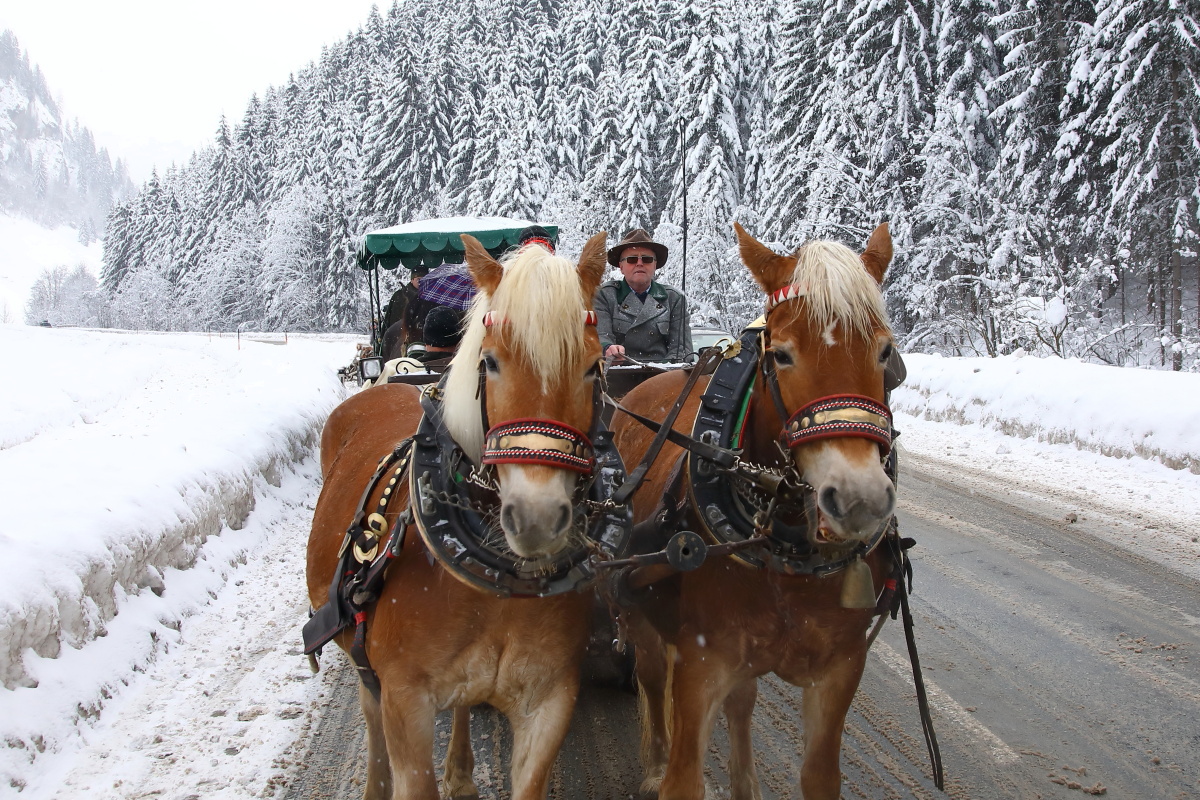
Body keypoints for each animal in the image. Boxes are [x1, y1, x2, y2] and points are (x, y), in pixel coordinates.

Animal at [304, 231, 614, 800]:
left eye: (593, 365)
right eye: (489, 362)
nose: (536, 518)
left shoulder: (549, 700)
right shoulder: (406, 704)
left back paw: (463, 771)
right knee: (368, 708)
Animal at [609, 220, 902, 800]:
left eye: (885, 352)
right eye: (782, 355)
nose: (859, 498)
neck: (783, 546)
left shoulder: (840, 669)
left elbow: (819, 776)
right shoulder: (700, 664)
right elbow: (683, 776)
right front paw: (666, 769)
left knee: (742, 703)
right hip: (638, 609)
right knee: (650, 676)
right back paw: (652, 762)